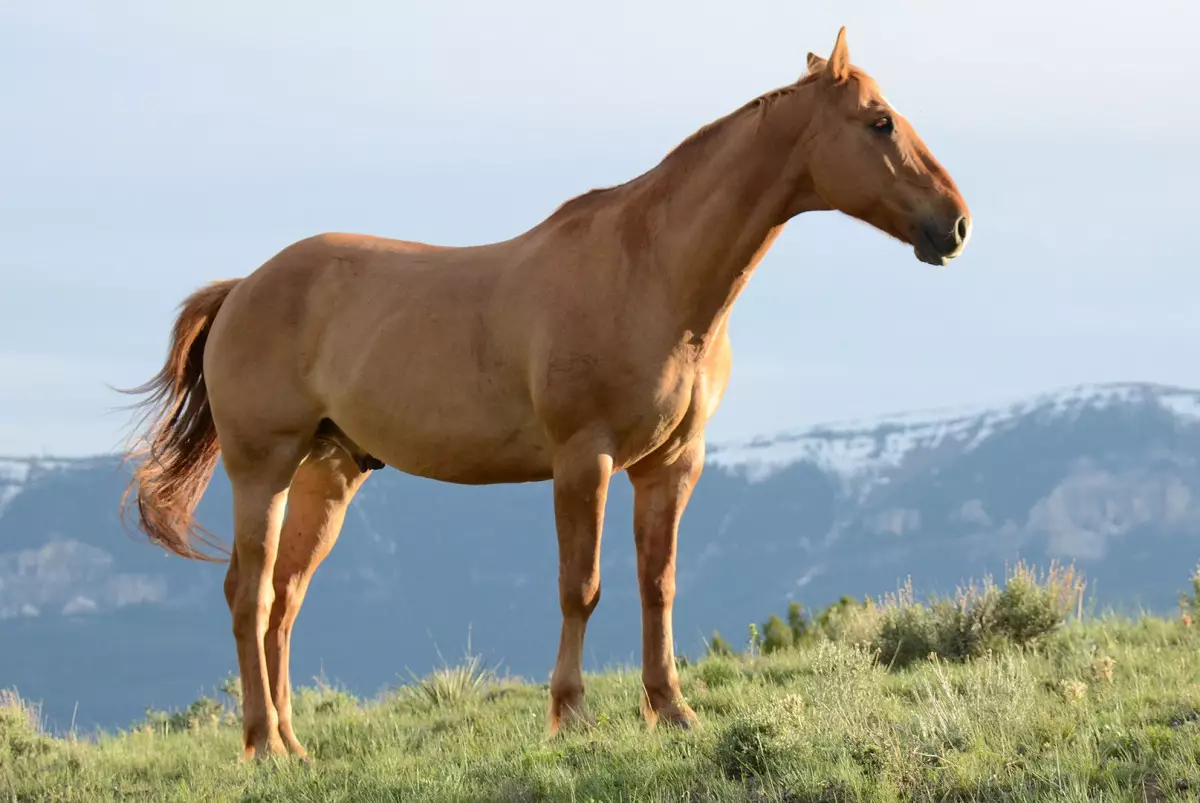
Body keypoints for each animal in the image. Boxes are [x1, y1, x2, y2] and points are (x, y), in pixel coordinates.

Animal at [117, 28, 969, 763]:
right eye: (879, 121)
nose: (955, 224)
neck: (651, 273)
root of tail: (242, 288)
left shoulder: (672, 464)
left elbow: (657, 585)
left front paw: (673, 710)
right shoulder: (582, 460)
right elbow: (580, 588)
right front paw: (572, 716)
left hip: (328, 474)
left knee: (285, 599)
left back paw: (294, 744)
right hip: (263, 468)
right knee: (249, 593)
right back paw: (262, 745)